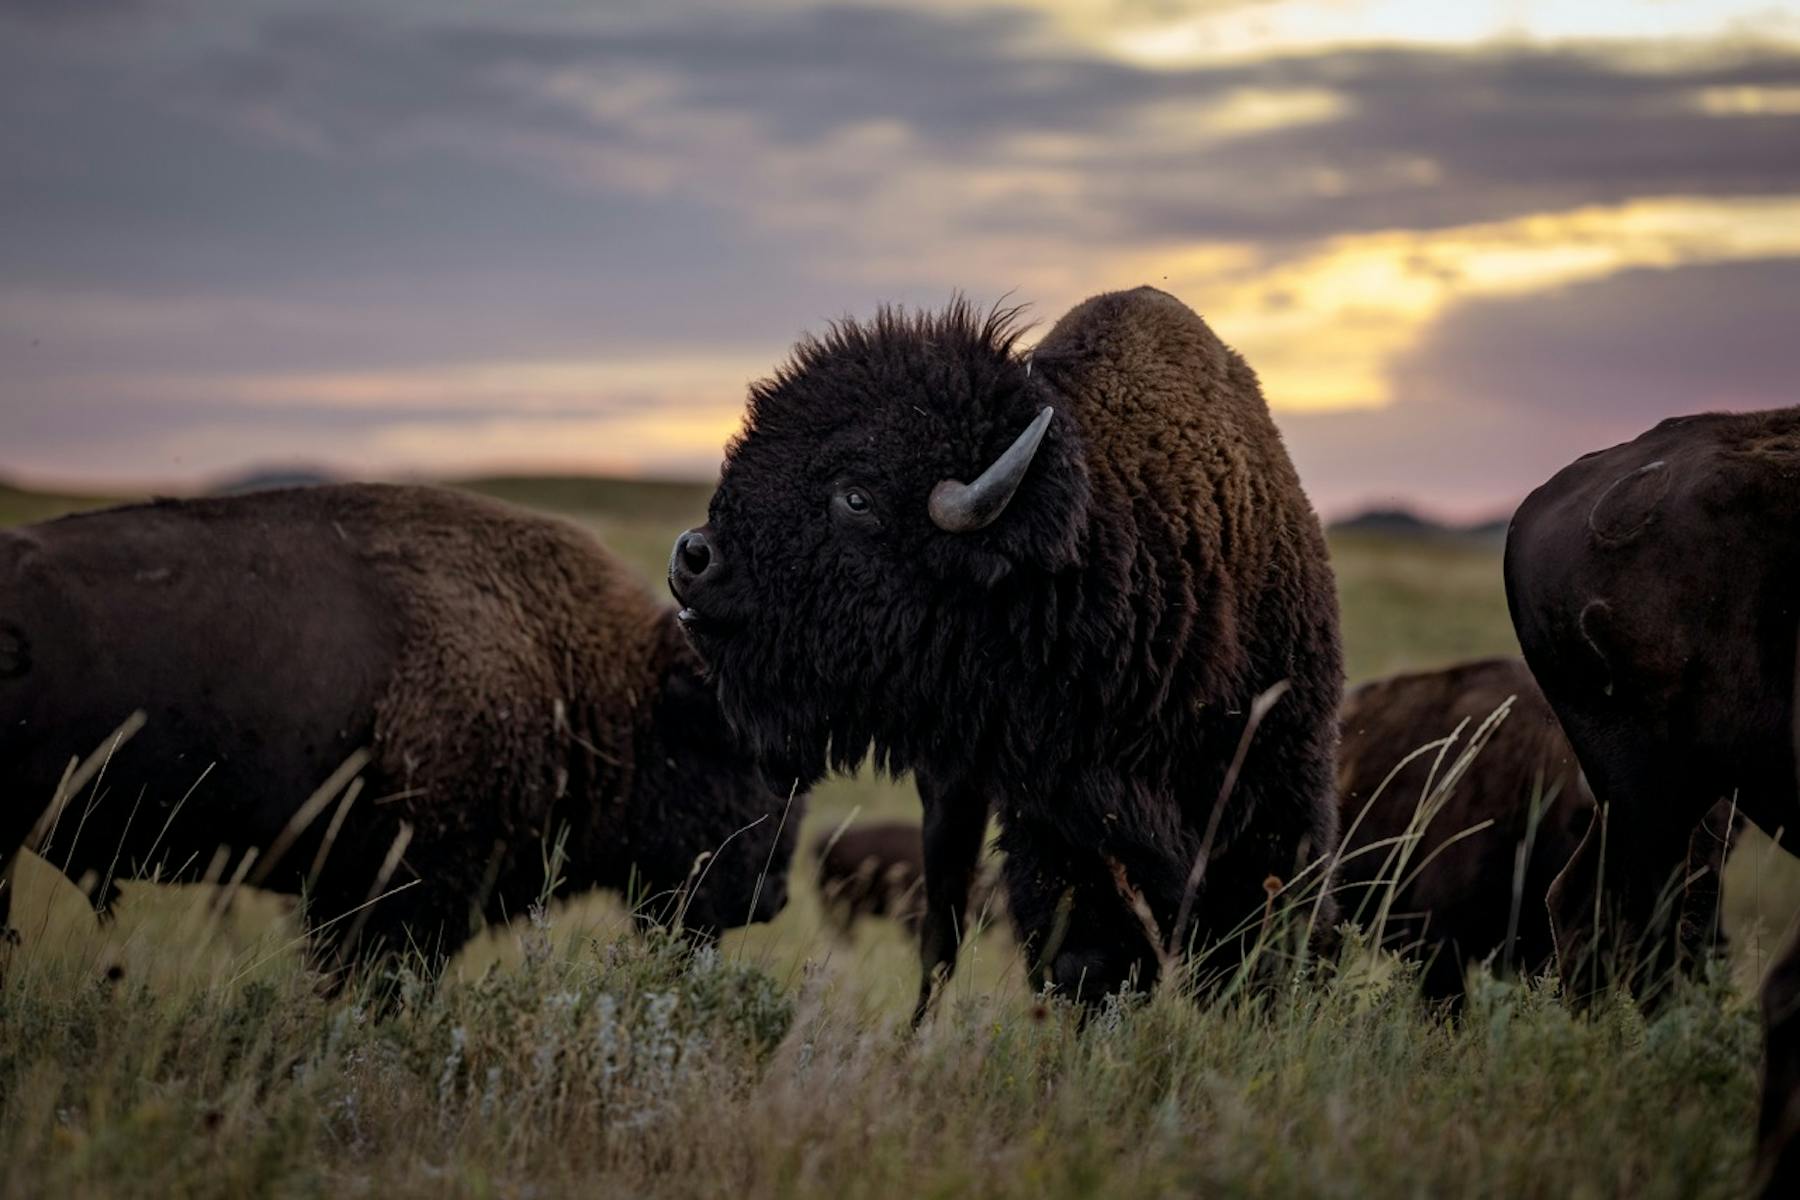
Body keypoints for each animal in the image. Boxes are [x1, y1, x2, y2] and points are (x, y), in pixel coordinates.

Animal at [670, 287, 1343, 1015]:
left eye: (856, 496)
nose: (694, 558)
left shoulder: (1277, 792)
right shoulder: (1058, 828)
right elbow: (1084, 956)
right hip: (951, 802)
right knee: (942, 935)